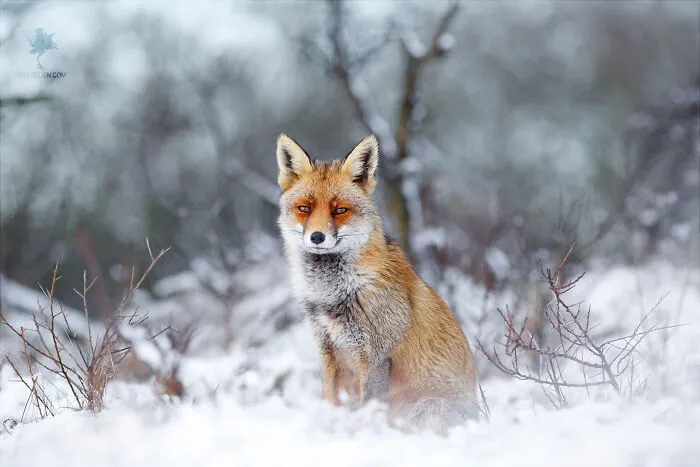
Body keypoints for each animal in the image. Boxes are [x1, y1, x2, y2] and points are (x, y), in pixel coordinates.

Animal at [276, 133, 478, 433]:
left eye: (340, 210)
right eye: (304, 208)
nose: (317, 237)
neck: (335, 293)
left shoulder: (375, 357)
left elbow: (367, 408)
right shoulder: (328, 351)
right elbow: (329, 401)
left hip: (428, 408)